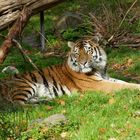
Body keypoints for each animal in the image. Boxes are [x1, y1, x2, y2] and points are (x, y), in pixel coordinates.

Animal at [0, 38, 140, 105]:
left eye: (88, 51)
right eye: (77, 53)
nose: (83, 63)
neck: (99, 68)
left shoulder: (106, 78)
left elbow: (123, 82)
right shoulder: (97, 84)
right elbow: (121, 86)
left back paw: (47, 101)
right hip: (25, 85)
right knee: (17, 104)